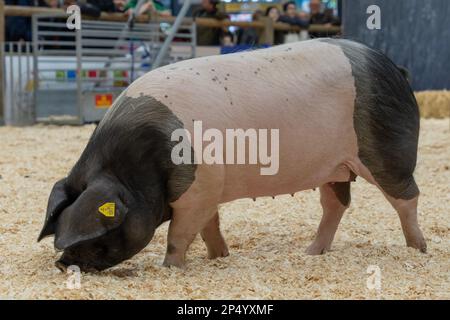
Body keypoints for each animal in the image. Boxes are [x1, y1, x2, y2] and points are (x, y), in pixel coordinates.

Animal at [37, 38, 426, 272]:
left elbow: (180, 233)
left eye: (99, 231)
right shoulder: (208, 189)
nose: (62, 263)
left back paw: (417, 249)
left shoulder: (197, 187)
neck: (138, 166)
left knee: (407, 197)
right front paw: (218, 257)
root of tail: (394, 69)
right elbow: (210, 225)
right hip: (335, 167)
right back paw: (311, 252)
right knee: (336, 205)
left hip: (386, 149)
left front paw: (169, 269)